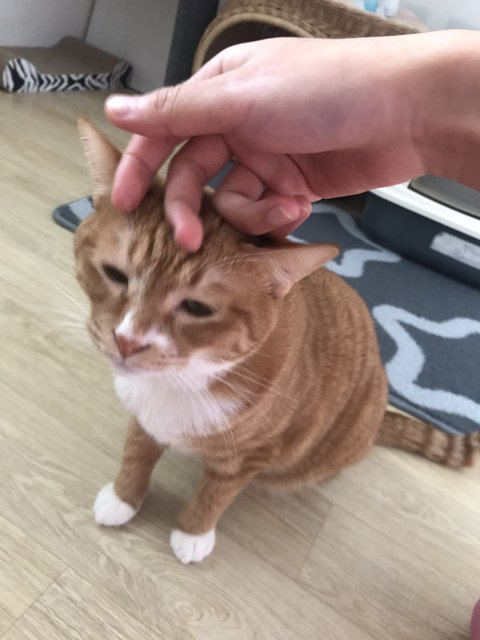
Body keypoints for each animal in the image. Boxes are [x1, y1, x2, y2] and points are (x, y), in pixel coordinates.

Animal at [74, 118, 478, 564]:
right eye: (114, 274)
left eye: (197, 307)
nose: (128, 341)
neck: (184, 377)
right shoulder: (145, 419)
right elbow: (136, 453)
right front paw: (124, 498)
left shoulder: (254, 454)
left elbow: (215, 494)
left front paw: (193, 533)